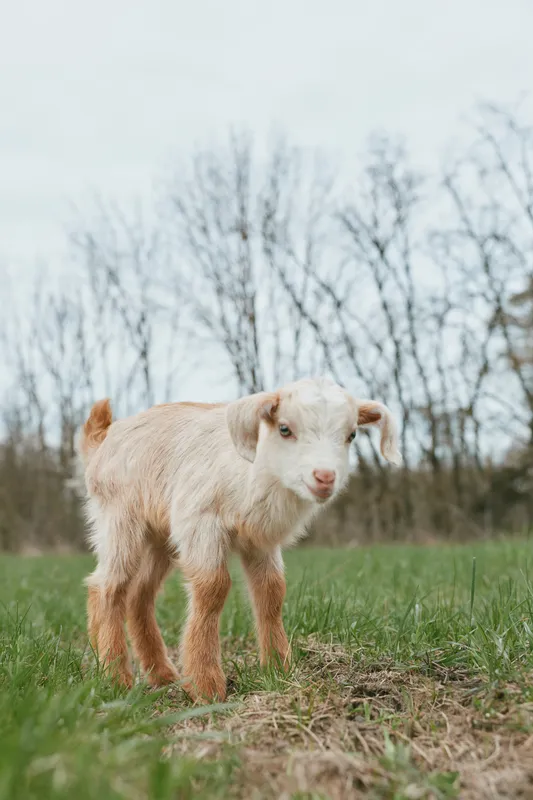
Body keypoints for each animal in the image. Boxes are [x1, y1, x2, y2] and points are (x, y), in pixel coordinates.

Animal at [79, 377, 401, 700]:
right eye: (284, 429)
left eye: (351, 434)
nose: (324, 477)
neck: (254, 473)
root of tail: (100, 443)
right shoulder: (201, 522)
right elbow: (213, 587)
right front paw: (206, 687)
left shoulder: (260, 543)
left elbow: (272, 591)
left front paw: (278, 670)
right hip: (119, 520)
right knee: (109, 586)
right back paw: (117, 677)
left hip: (158, 537)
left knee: (137, 594)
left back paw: (154, 673)